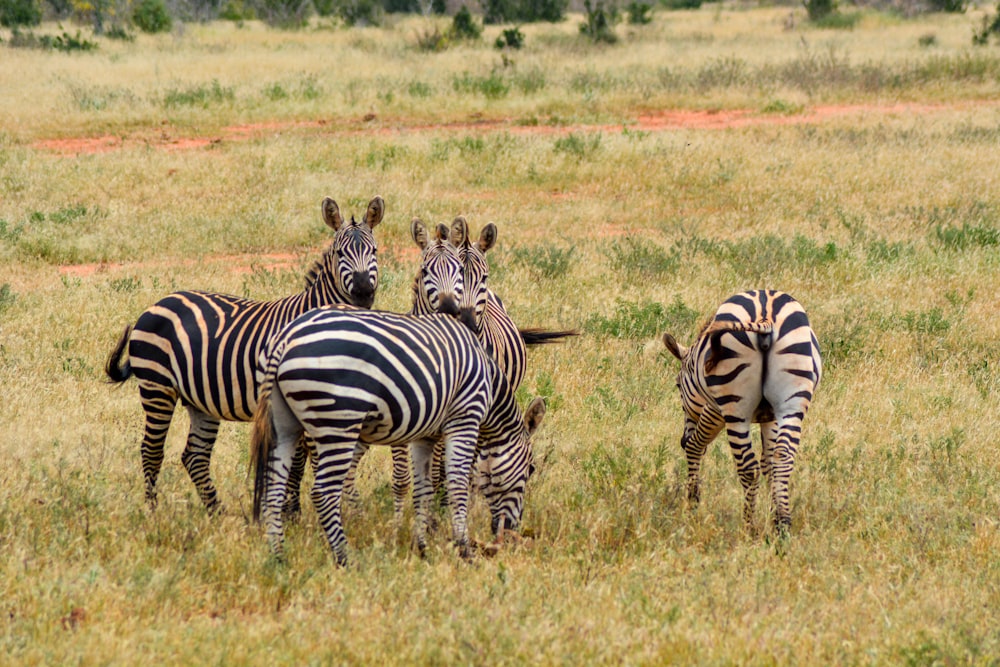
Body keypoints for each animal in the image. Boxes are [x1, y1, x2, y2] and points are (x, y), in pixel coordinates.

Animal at [101, 196, 382, 516]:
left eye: (374, 250)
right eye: (339, 253)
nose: (363, 292)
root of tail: (158, 302)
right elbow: (299, 461)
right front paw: (293, 512)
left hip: (200, 399)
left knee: (194, 456)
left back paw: (218, 513)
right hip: (157, 387)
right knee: (151, 450)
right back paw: (153, 511)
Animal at [250, 306, 548, 564]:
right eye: (531, 469)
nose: (511, 533)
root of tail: (286, 338)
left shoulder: (425, 435)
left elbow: (423, 489)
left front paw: (422, 547)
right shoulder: (464, 418)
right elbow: (457, 485)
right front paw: (464, 550)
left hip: (284, 425)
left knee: (273, 489)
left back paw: (278, 556)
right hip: (339, 421)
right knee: (324, 492)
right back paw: (345, 559)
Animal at [664, 290, 820, 536]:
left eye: (678, 386)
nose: (681, 439)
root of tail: (765, 316)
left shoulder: (714, 409)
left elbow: (695, 445)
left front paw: (692, 502)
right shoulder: (771, 416)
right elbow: (769, 463)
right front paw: (774, 511)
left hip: (735, 407)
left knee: (748, 469)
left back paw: (749, 528)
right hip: (793, 402)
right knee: (783, 457)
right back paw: (782, 526)